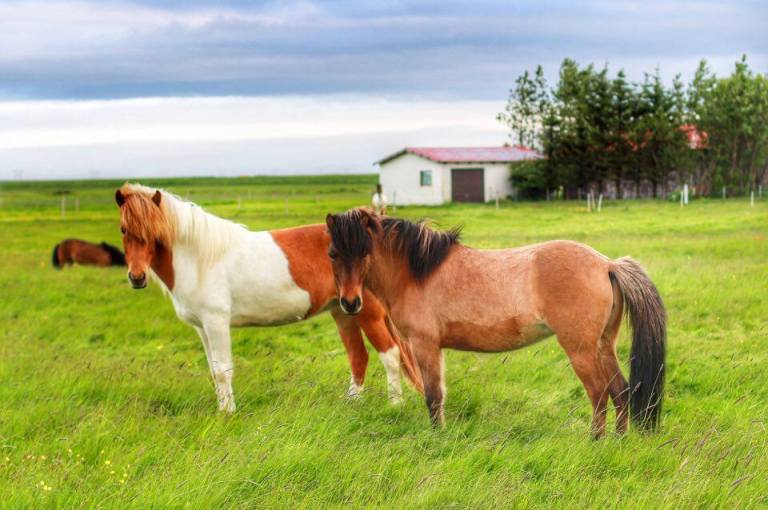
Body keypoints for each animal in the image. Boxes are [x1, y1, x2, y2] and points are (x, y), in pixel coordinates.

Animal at [114, 184, 423, 413]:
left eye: (153, 232)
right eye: (123, 229)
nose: (137, 277)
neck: (201, 258)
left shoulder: (216, 322)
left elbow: (224, 370)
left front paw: (228, 414)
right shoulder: (202, 328)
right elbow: (214, 370)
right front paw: (221, 409)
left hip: (367, 312)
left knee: (390, 354)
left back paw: (395, 404)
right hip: (343, 310)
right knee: (358, 356)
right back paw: (352, 403)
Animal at [325, 208, 667, 438]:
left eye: (364, 251)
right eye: (332, 253)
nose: (350, 303)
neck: (417, 273)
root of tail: (607, 264)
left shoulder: (425, 345)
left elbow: (433, 395)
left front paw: (437, 437)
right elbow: (438, 394)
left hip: (580, 350)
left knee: (598, 393)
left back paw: (594, 441)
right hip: (603, 345)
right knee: (620, 391)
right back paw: (618, 440)